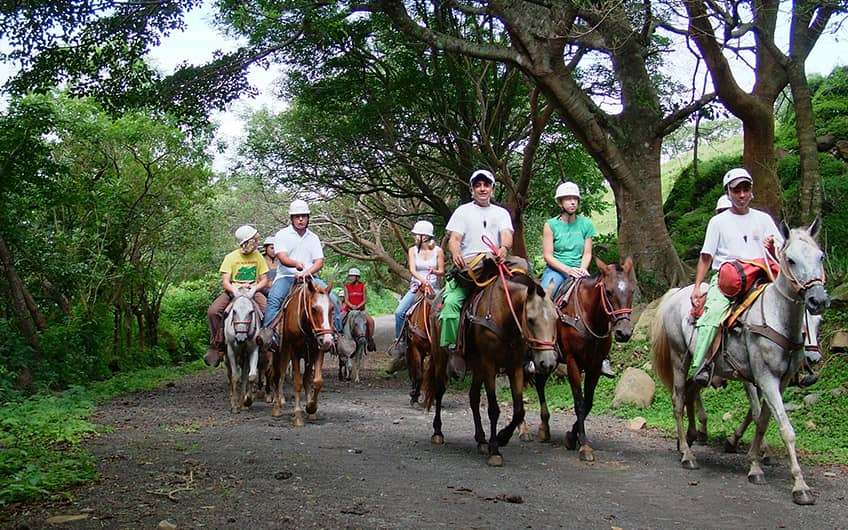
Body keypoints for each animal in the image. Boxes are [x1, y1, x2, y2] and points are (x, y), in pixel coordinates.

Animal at [222, 284, 262, 412]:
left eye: (251, 312)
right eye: (234, 311)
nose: (241, 338)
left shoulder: (253, 350)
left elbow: (251, 376)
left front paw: (247, 401)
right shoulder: (231, 351)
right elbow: (235, 377)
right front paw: (234, 406)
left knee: (245, 376)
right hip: (226, 357)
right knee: (230, 375)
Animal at [272, 276, 338, 424]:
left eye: (332, 308)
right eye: (314, 308)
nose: (328, 340)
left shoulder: (318, 350)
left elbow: (317, 381)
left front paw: (311, 407)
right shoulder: (294, 352)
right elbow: (297, 382)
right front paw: (297, 415)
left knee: (306, 378)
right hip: (281, 353)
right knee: (279, 376)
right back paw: (277, 407)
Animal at [424, 270, 564, 464]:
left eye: (555, 318)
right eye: (530, 320)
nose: (548, 362)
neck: (504, 317)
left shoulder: (515, 367)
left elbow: (519, 409)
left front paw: (502, 437)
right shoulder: (489, 365)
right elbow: (493, 409)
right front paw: (495, 450)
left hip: (477, 367)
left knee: (473, 398)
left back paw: (481, 439)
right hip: (440, 358)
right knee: (439, 391)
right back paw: (438, 432)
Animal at [536, 256, 636, 458]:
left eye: (632, 290)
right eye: (608, 292)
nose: (624, 333)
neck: (590, 317)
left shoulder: (595, 366)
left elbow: (588, 402)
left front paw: (571, 437)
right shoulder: (573, 362)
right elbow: (579, 403)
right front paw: (584, 445)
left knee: (540, 382)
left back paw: (545, 427)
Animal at [648, 219, 828, 504]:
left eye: (820, 256)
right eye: (790, 259)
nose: (817, 299)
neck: (775, 318)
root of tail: (676, 293)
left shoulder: (778, 382)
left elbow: (763, 421)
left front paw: (755, 463)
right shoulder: (762, 378)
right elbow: (783, 427)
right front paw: (800, 486)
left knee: (692, 390)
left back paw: (691, 437)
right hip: (679, 357)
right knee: (678, 400)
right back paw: (687, 453)